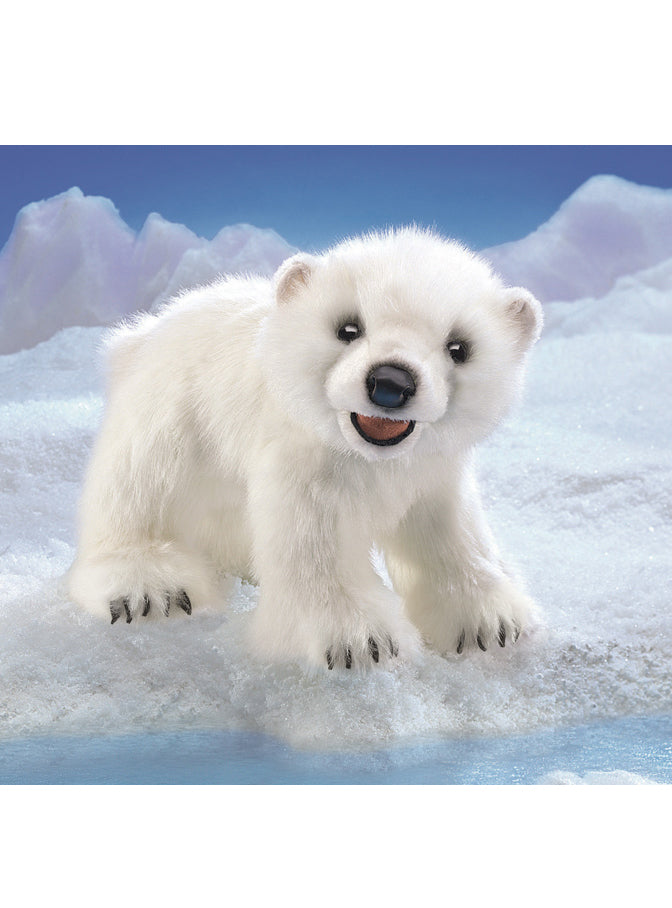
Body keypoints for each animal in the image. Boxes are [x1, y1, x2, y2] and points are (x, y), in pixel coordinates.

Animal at [68, 227, 543, 671]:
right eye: (348, 329)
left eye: (459, 347)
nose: (391, 381)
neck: (372, 459)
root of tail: (140, 333)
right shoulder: (308, 466)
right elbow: (316, 546)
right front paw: (360, 643)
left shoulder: (432, 472)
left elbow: (450, 532)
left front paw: (490, 624)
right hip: (174, 410)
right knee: (141, 484)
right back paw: (151, 589)